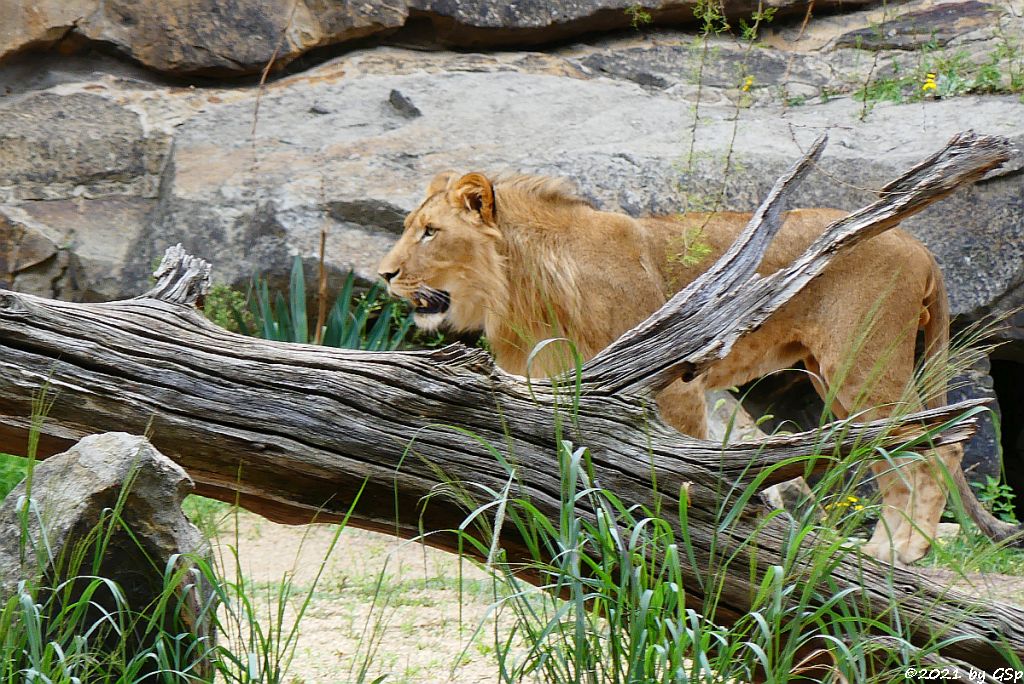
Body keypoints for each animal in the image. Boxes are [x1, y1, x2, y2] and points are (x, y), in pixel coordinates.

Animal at [376, 171, 974, 565]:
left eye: (430, 232)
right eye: (412, 227)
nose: (384, 274)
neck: (519, 287)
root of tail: (917, 243)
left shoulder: (673, 384)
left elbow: (680, 472)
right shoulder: (543, 391)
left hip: (862, 361)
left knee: (937, 444)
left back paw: (905, 549)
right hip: (837, 374)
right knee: (895, 451)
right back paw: (888, 549)